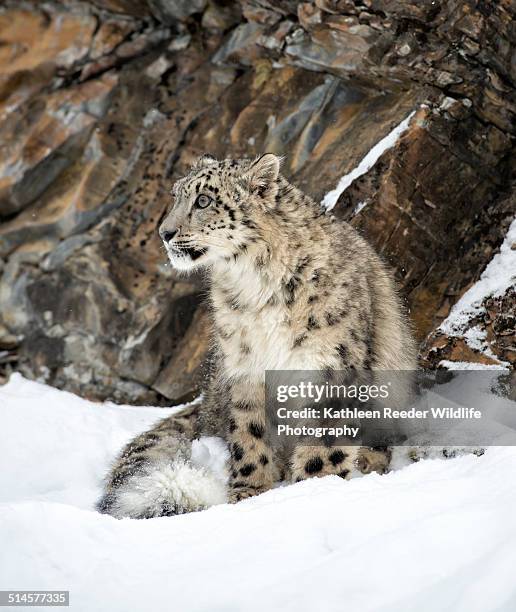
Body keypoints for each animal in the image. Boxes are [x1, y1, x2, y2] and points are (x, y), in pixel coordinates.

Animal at [97, 153, 418, 516]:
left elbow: (323, 439)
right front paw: (248, 493)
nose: (164, 233)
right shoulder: (245, 364)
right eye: (176, 196)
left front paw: (315, 485)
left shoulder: (329, 364)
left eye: (203, 200)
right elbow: (249, 430)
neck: (255, 287)